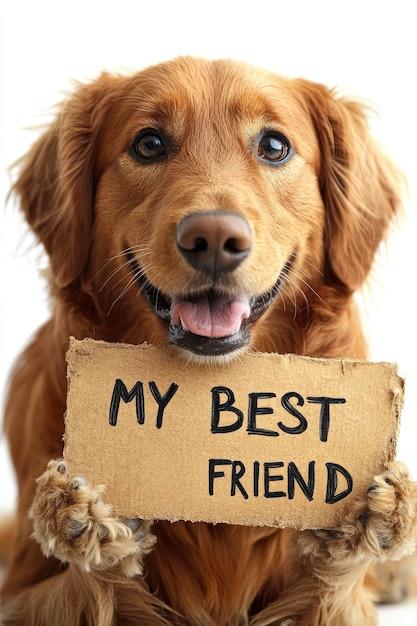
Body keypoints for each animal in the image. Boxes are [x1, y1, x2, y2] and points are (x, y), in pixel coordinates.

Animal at [0, 56, 416, 620]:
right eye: (149, 144)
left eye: (274, 146)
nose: (215, 238)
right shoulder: (19, 591)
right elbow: (86, 592)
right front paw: (88, 524)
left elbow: (332, 590)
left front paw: (361, 530)